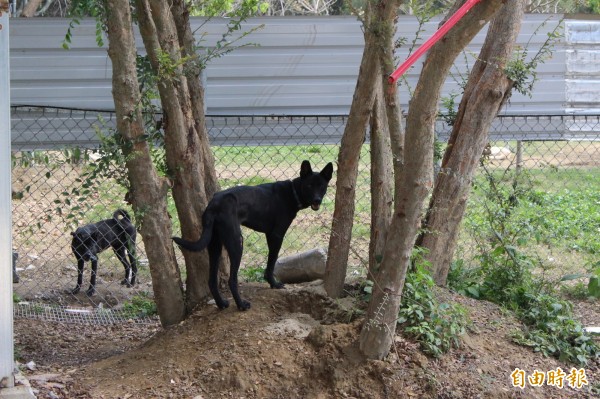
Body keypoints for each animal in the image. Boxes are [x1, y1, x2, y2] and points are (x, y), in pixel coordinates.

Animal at [173, 161, 336, 310]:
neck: (292, 192)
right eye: (309, 186)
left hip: (215, 245)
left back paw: (221, 304)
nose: (317, 200)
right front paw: (274, 284)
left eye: (322, 186)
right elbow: (272, 262)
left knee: (212, 280)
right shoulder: (276, 236)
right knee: (232, 280)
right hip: (236, 242)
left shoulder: (269, 235)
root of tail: (214, 204)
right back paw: (241, 305)